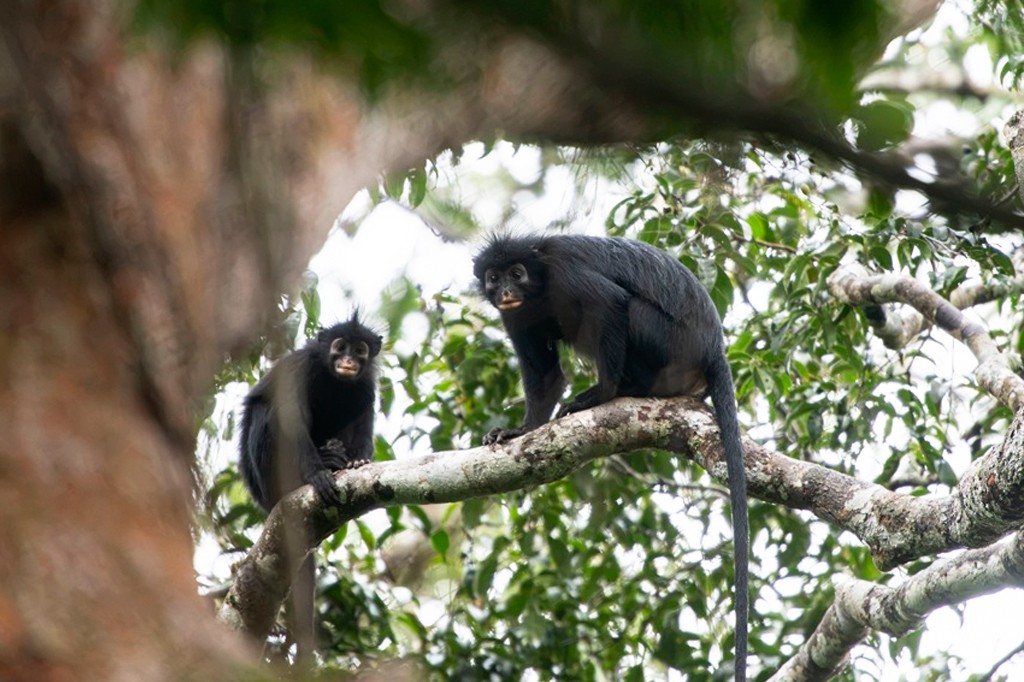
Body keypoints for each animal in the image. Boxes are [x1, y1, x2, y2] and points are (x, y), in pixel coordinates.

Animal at [238, 312, 382, 662]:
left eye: (359, 350)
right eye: (340, 346)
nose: (348, 361)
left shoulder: (366, 383)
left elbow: (364, 412)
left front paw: (358, 461)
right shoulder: (299, 369)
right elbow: (290, 417)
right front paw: (316, 475)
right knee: (268, 410)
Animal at [473, 233, 749, 681]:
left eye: (517, 273)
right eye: (494, 278)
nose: (507, 292)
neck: (540, 284)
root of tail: (713, 348)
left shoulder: (565, 272)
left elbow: (610, 303)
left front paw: (601, 393)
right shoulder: (517, 316)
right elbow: (545, 376)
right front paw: (521, 430)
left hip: (669, 343)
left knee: (628, 308)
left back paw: (625, 389)